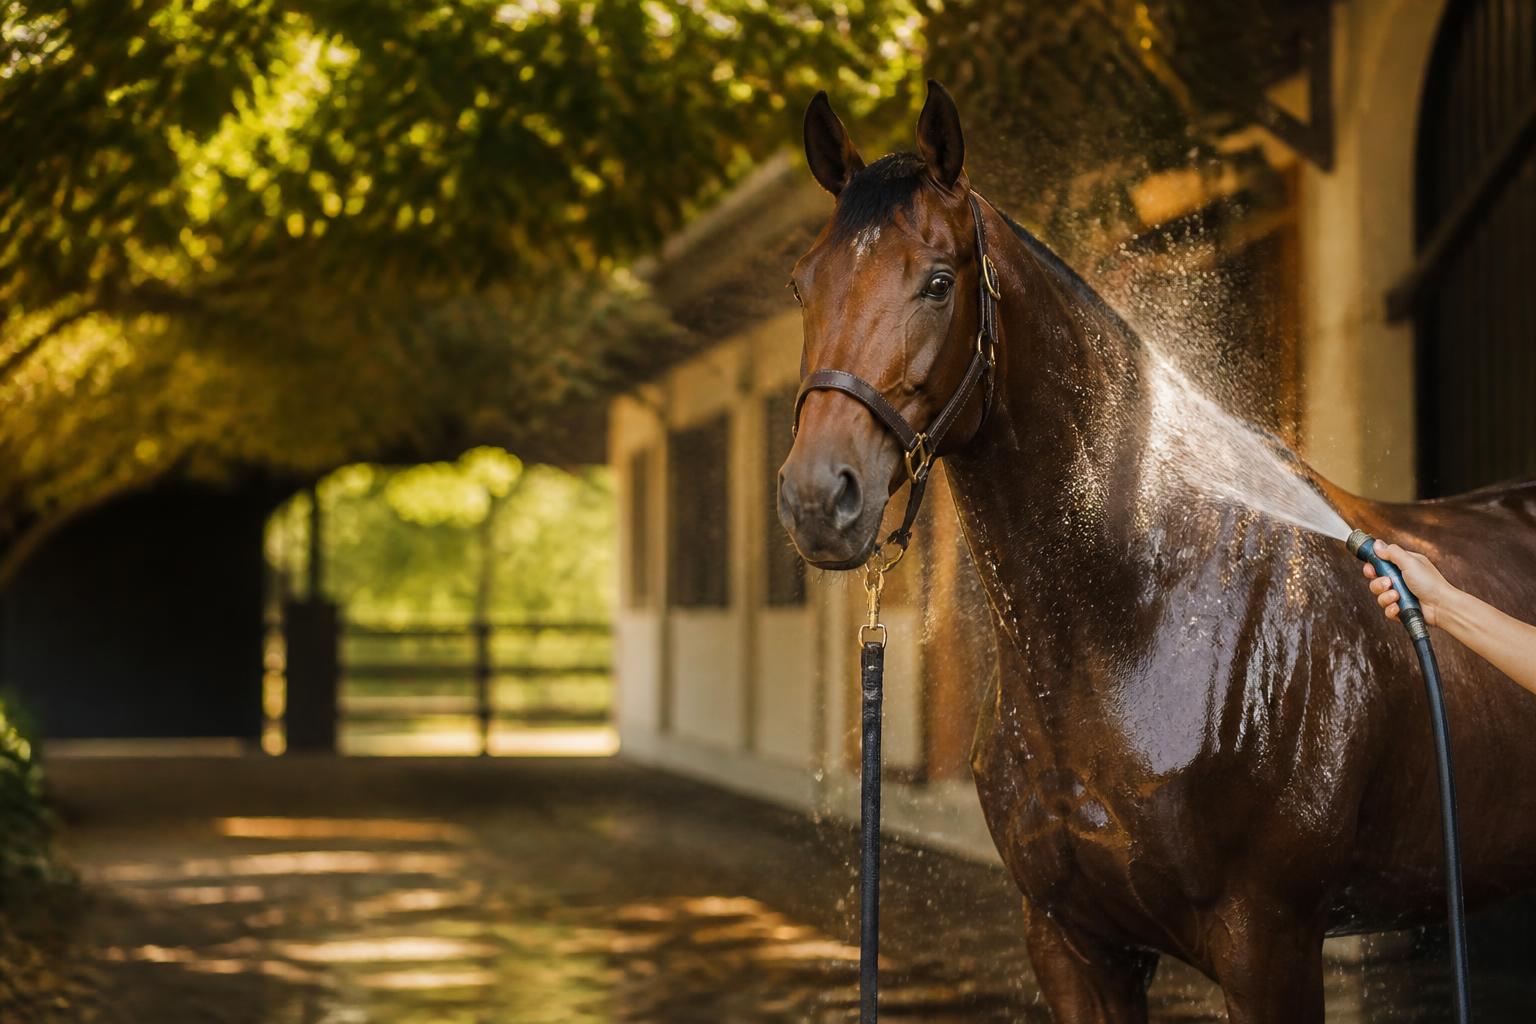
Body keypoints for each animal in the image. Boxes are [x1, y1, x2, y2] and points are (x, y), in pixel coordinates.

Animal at [777, 80, 1536, 1023]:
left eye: (939, 283)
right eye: (802, 284)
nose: (817, 497)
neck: (1148, 616)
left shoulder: (1269, 946)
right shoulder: (1070, 942)